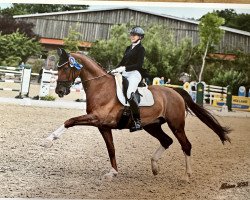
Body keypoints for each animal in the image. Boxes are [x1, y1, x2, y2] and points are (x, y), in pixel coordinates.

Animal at [41, 48, 230, 181]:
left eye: (66, 68)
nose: (59, 91)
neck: (100, 87)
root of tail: (174, 92)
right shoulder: (103, 126)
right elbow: (111, 149)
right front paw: (113, 172)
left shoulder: (97, 118)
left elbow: (70, 121)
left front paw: (48, 141)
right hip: (152, 125)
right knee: (166, 141)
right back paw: (155, 167)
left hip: (176, 125)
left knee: (186, 145)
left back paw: (186, 176)